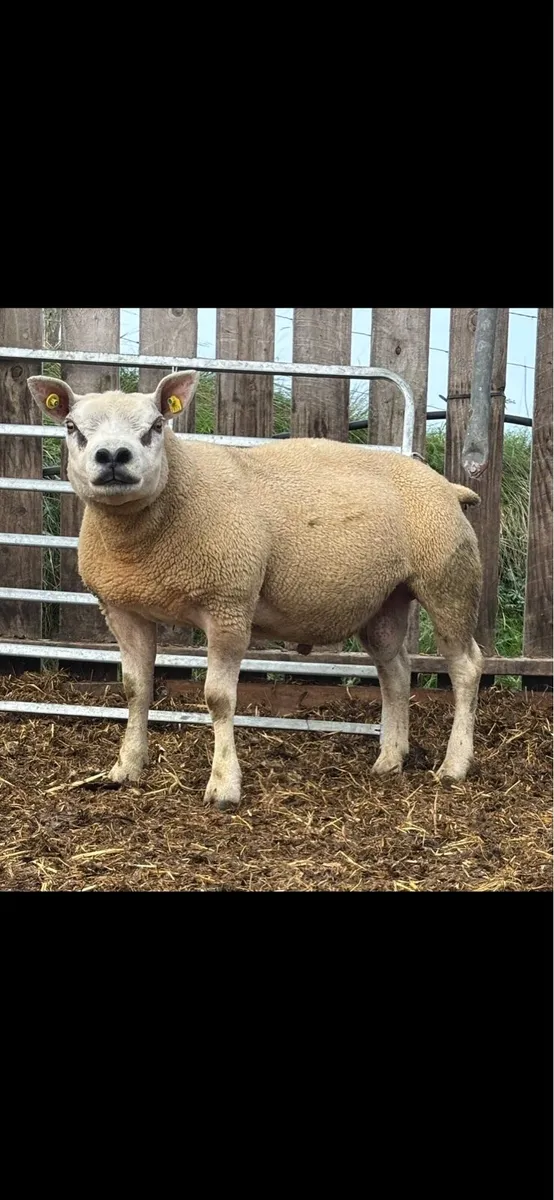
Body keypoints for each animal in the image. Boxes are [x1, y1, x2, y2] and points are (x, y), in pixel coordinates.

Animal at [27, 370, 483, 809]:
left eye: (157, 425)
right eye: (71, 426)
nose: (112, 457)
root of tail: (447, 486)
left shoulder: (228, 604)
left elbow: (218, 699)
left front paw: (224, 786)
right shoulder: (123, 609)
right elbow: (135, 689)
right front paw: (125, 768)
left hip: (448, 582)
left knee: (466, 667)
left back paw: (454, 765)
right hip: (386, 599)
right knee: (396, 671)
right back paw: (390, 758)